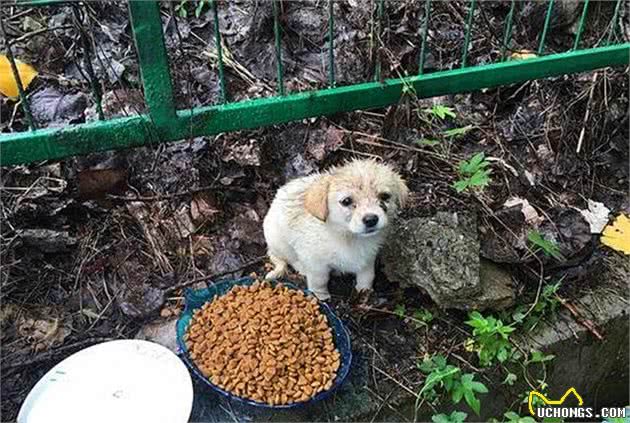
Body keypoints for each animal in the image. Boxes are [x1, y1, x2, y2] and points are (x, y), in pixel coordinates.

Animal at [262, 159, 410, 302]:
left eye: (384, 196)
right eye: (346, 201)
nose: (371, 219)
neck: (349, 237)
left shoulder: (368, 258)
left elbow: (367, 276)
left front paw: (365, 291)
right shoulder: (316, 263)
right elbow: (319, 281)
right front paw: (321, 296)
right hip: (280, 242)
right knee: (291, 259)